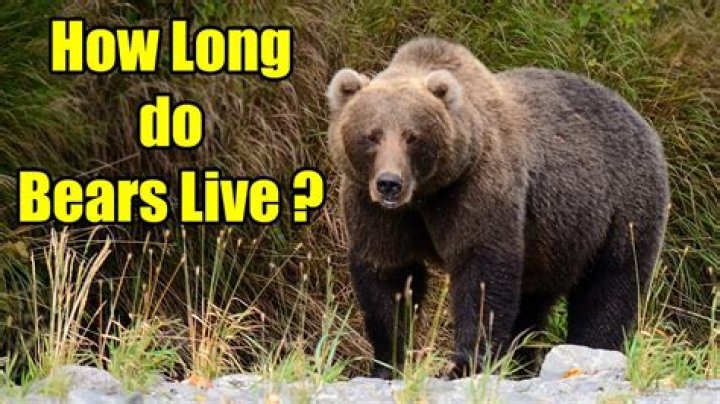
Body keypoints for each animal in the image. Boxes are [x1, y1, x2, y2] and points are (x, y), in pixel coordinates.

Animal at [325, 37, 669, 379]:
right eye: (372, 135)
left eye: (413, 136)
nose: (389, 183)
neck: (426, 193)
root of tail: (641, 120)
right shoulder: (375, 206)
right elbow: (389, 275)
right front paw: (387, 363)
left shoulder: (476, 187)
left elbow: (481, 271)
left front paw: (465, 364)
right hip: (554, 238)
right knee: (532, 303)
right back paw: (522, 364)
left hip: (623, 206)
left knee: (611, 285)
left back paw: (592, 349)